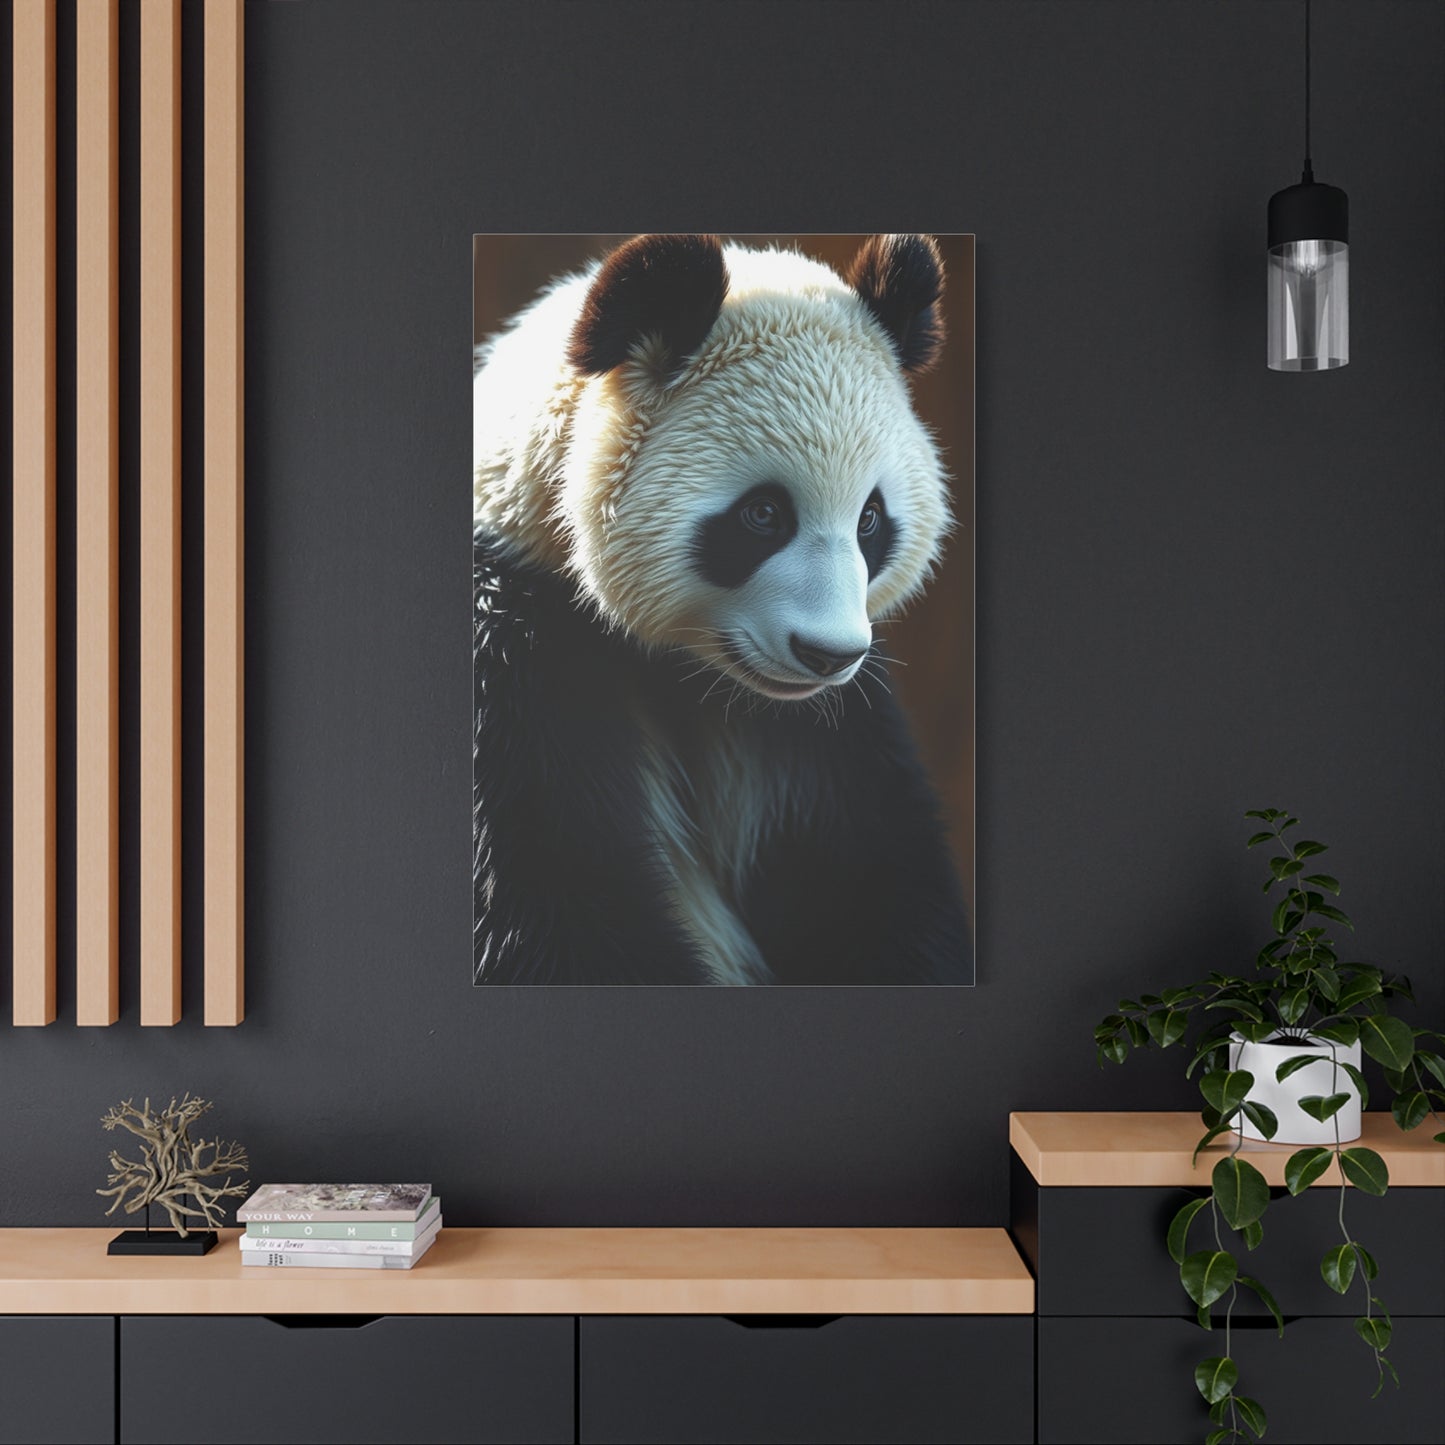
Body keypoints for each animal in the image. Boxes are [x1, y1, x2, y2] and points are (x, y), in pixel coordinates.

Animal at [473, 233, 972, 985]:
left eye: (870, 520)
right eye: (763, 515)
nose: (827, 655)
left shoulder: (819, 734)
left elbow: (874, 883)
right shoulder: (513, 660)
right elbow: (552, 905)